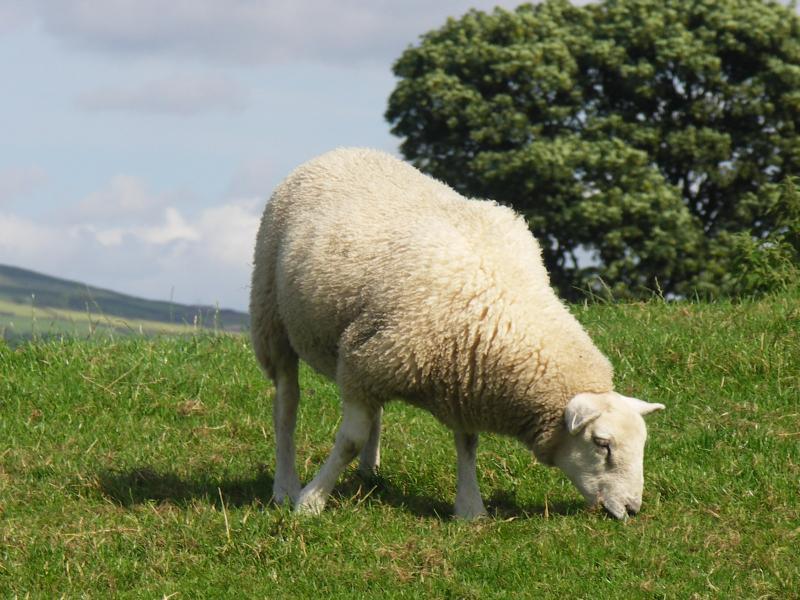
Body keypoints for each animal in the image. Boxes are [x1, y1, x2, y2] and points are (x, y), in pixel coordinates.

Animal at [250, 147, 665, 519]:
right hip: (273, 315)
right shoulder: (372, 364)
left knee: (372, 412)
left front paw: (469, 508)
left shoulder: (455, 374)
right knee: (286, 405)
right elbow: (349, 441)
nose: (632, 508)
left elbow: (467, 442)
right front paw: (312, 502)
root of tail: (341, 150)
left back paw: (370, 471)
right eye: (602, 444)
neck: (503, 303)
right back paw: (285, 486)